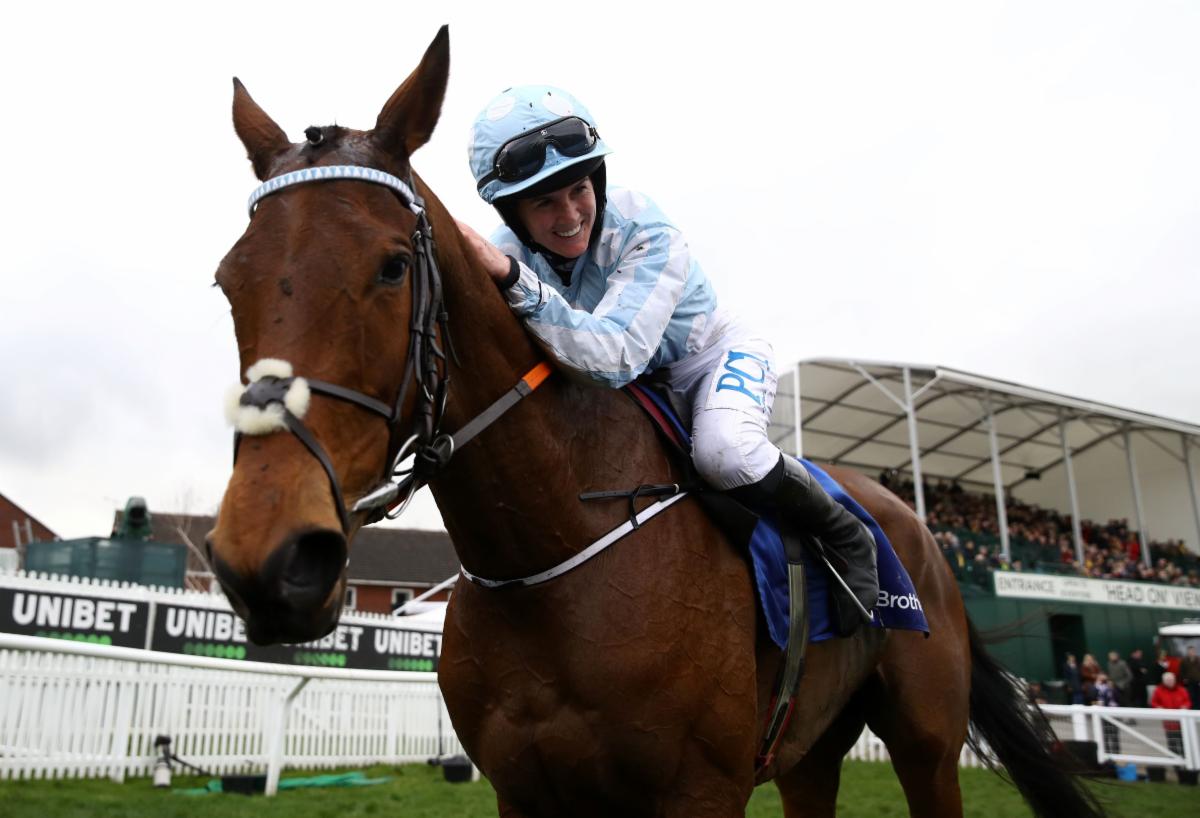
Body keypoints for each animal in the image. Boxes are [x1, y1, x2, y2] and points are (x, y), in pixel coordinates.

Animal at [206, 27, 1105, 818]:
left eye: (393, 266)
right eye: (227, 280)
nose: (270, 560)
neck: (547, 560)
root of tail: (915, 524)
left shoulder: (700, 789)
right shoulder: (524, 793)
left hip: (925, 742)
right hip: (811, 750)